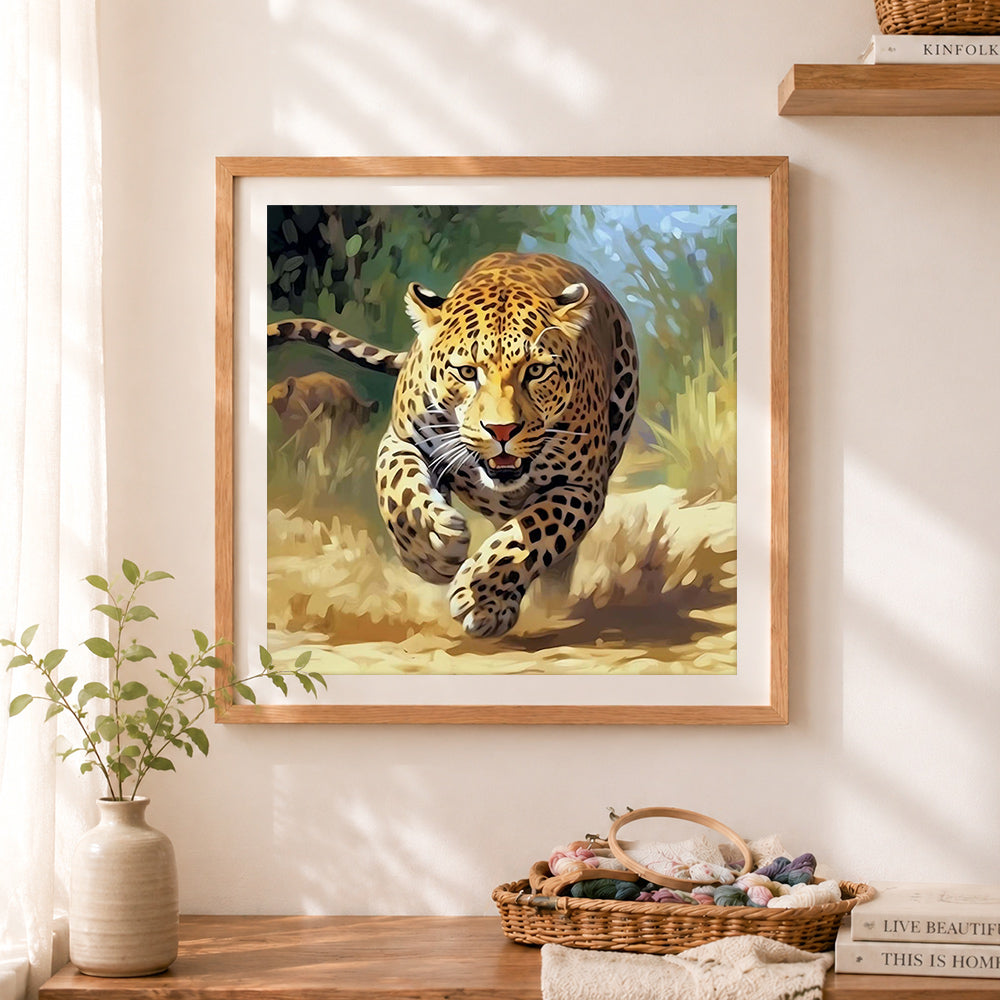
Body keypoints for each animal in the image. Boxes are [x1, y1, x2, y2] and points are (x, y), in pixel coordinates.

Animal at [268, 251, 638, 638]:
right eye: (467, 372)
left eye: (536, 371)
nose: (502, 430)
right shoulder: (400, 440)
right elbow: (399, 492)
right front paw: (432, 550)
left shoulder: (581, 485)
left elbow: (530, 535)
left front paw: (481, 599)